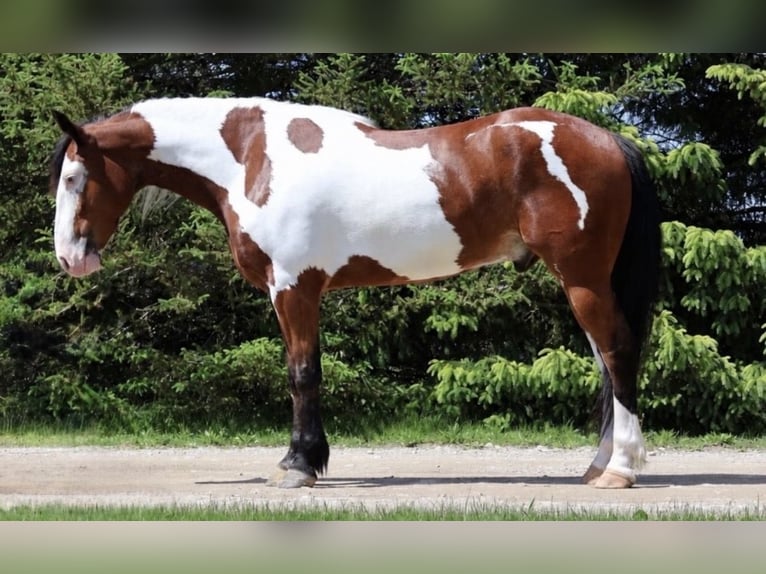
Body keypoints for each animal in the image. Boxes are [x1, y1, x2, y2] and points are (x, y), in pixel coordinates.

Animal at [49, 96, 661, 489]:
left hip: (582, 277)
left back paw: (620, 471)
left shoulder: (294, 289)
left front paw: (299, 466)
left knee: (618, 353)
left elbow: (302, 375)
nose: (70, 259)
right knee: (606, 364)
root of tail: (609, 138)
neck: (250, 156)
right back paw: (597, 466)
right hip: (581, 281)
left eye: (74, 179)